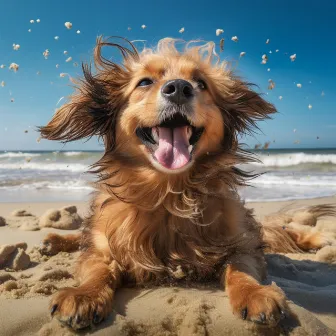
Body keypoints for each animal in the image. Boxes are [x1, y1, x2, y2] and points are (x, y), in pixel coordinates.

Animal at [38, 36, 330, 330]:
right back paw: (54, 240)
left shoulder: (243, 244)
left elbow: (240, 268)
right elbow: (98, 269)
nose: (179, 88)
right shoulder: (102, 248)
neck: (170, 194)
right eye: (144, 82)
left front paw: (255, 293)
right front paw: (83, 294)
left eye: (201, 83)